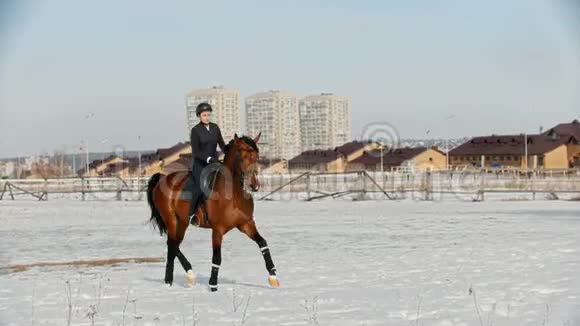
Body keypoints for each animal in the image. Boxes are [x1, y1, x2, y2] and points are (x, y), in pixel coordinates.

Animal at [146, 134, 280, 292]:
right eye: (242, 158)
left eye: (257, 157)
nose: (254, 185)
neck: (233, 194)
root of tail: (162, 178)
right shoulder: (217, 229)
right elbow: (217, 257)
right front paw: (213, 285)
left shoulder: (246, 224)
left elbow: (263, 243)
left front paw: (273, 277)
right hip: (171, 219)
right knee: (172, 244)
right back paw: (170, 280)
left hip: (183, 222)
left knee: (174, 244)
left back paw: (189, 275)